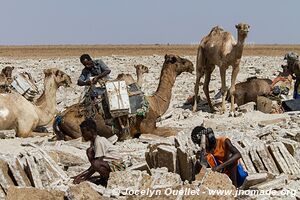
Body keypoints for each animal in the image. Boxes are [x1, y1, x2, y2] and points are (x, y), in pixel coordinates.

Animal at [52, 54, 193, 140]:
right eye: (181, 60)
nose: (191, 65)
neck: (154, 103)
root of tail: (59, 117)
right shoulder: (147, 128)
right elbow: (173, 131)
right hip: (76, 130)